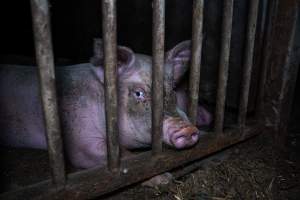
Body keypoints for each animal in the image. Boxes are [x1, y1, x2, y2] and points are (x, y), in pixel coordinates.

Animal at [0, 41, 211, 169]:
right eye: (139, 93)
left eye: (173, 89)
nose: (187, 128)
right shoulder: (78, 138)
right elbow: (121, 157)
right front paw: (164, 179)